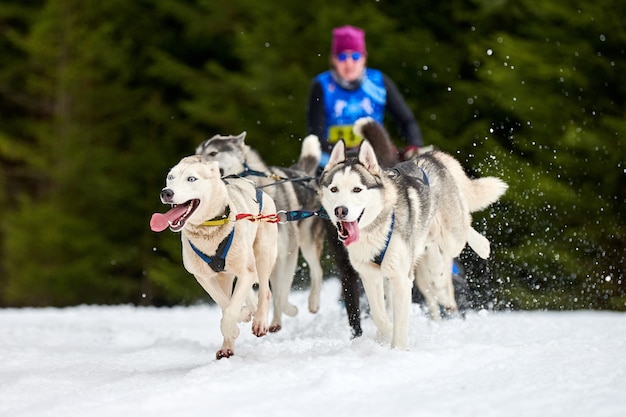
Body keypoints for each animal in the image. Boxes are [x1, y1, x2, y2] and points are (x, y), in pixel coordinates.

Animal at [149, 156, 276, 358]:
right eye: (170, 177)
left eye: (191, 179)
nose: (166, 192)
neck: (209, 227)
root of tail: (256, 186)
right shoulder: (204, 277)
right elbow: (226, 305)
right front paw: (239, 320)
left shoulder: (247, 272)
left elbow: (231, 310)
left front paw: (233, 327)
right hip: (226, 276)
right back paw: (227, 346)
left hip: (263, 253)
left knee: (265, 291)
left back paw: (260, 322)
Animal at [195, 133, 324, 332]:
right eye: (197, 155)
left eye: (213, 153)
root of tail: (301, 173)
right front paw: (253, 307)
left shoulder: (287, 252)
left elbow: (280, 292)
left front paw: (284, 312)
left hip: (307, 242)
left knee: (317, 271)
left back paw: (312, 303)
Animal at [316, 120, 508, 348]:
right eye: (334, 189)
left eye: (357, 189)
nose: (340, 211)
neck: (376, 229)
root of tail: (430, 157)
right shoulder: (369, 277)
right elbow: (379, 316)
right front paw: (383, 336)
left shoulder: (400, 280)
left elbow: (399, 325)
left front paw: (397, 350)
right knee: (431, 246)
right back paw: (436, 266)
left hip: (451, 236)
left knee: (462, 228)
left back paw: (479, 246)